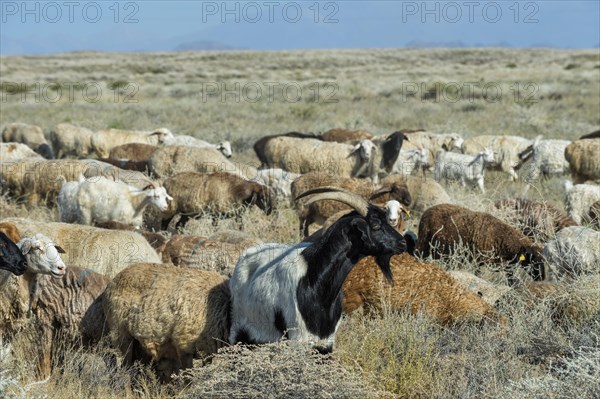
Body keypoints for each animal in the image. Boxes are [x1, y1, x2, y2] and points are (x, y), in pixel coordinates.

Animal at [227, 188, 406, 354]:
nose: (402, 243)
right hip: (238, 329)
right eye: (375, 225)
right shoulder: (299, 340)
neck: (315, 277)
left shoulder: (326, 342)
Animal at [414, 205, 548, 286]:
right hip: (422, 246)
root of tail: (427, 211)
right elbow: (478, 276)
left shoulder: (507, 266)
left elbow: (511, 280)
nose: (542, 279)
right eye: (533, 260)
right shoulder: (477, 261)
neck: (502, 237)